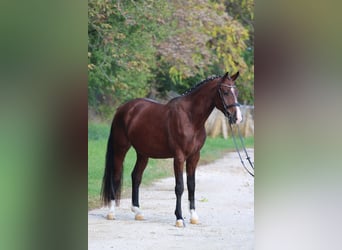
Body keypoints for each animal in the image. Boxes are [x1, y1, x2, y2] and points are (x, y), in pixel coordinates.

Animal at [101, 71, 243, 227]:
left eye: (236, 92)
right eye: (225, 92)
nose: (238, 118)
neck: (190, 118)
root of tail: (122, 109)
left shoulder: (194, 157)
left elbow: (191, 185)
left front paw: (193, 216)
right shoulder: (179, 157)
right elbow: (179, 187)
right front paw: (179, 218)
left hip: (143, 153)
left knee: (136, 176)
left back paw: (138, 212)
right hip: (120, 148)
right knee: (116, 176)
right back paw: (111, 212)